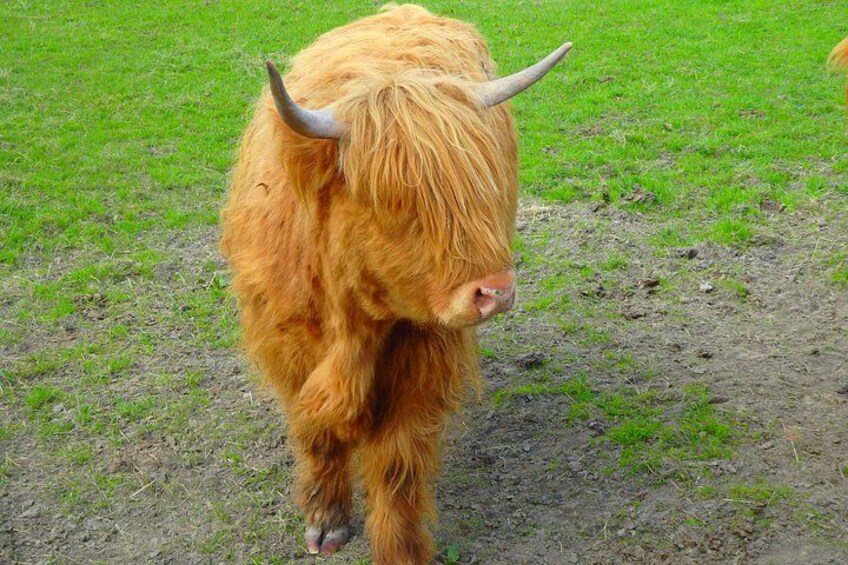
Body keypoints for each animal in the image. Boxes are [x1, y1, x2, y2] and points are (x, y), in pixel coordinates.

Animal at [220, 4, 570, 563]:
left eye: (484, 184)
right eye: (395, 200)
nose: (494, 291)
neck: (353, 325)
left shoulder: (423, 354)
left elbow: (397, 461)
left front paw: (399, 547)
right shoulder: (287, 348)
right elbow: (315, 430)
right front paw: (326, 520)